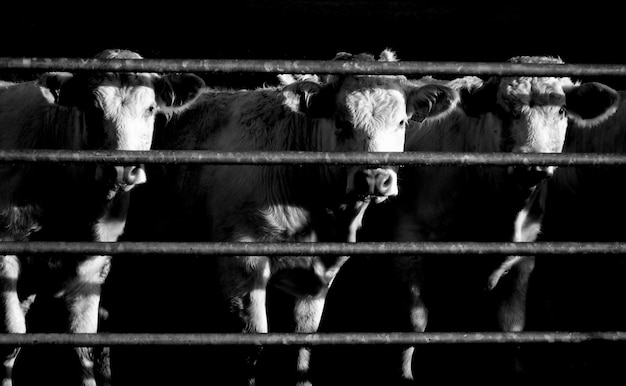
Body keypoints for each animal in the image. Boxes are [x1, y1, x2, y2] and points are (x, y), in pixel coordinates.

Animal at [0, 49, 205, 386]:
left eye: (150, 108)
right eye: (93, 109)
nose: (122, 168)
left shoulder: (94, 265)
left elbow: (83, 345)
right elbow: (12, 337)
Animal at [107, 49, 456, 386]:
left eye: (402, 122)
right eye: (342, 121)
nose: (374, 179)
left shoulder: (318, 275)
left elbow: (302, 341)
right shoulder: (241, 261)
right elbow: (253, 343)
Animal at [308, 55, 620, 384]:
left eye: (561, 110)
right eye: (503, 110)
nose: (532, 164)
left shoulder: (524, 257)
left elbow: (511, 326)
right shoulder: (408, 244)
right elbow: (414, 322)